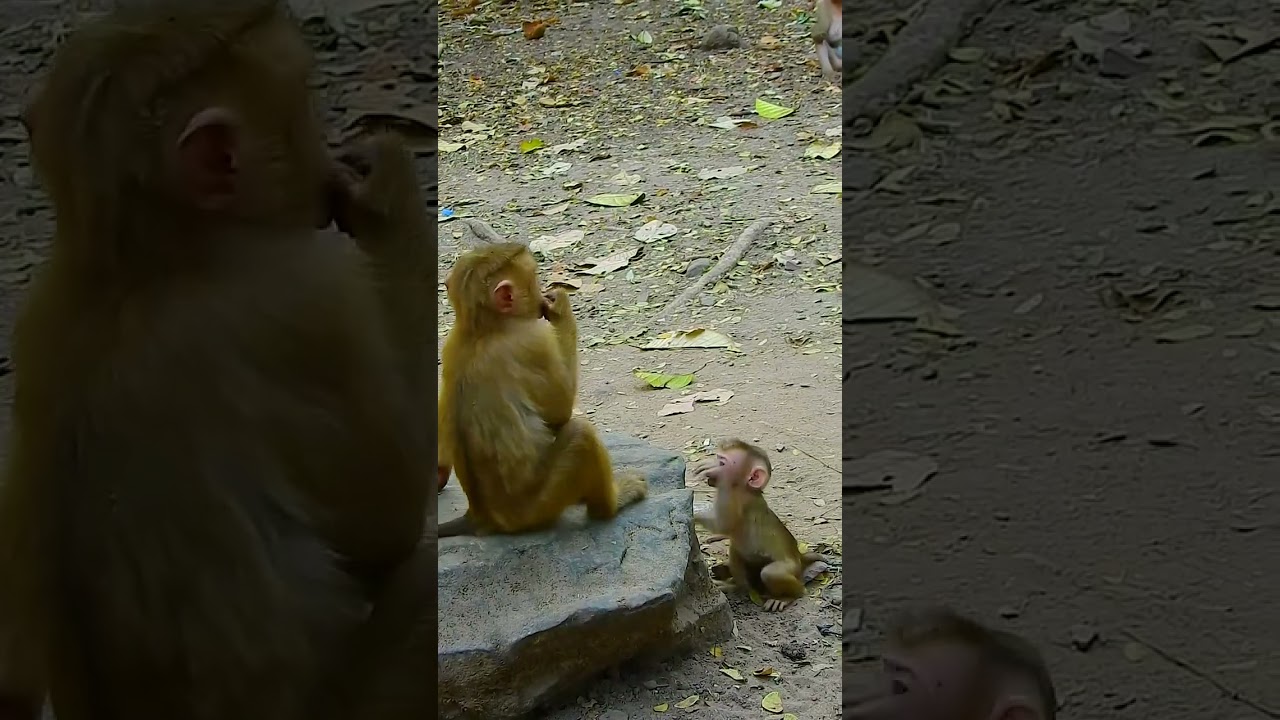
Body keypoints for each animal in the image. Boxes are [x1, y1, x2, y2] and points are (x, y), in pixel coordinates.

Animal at [0, 2, 437, 719]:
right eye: (305, 103)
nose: (330, 157)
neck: (139, 263)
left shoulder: (32, 314)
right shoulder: (306, 297)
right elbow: (393, 514)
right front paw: (388, 192)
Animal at [437, 243, 648, 537]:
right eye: (535, 279)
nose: (543, 293)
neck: (481, 328)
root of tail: (483, 517)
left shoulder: (447, 345)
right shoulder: (534, 341)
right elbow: (561, 411)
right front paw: (560, 307)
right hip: (538, 508)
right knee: (581, 434)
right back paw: (611, 505)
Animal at [690, 439, 824, 612]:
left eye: (722, 462)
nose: (714, 464)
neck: (744, 488)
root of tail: (799, 556)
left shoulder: (738, 498)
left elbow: (722, 524)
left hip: (791, 568)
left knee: (771, 573)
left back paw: (787, 597)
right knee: (737, 551)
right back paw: (736, 585)